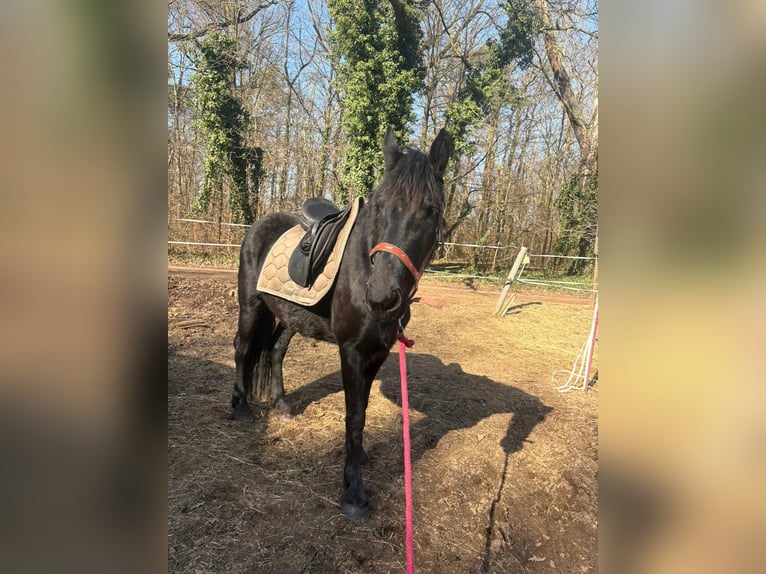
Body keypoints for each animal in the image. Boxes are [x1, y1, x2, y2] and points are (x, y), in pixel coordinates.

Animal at [232, 127, 453, 520]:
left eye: (432, 210)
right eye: (379, 206)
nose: (381, 298)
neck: (364, 269)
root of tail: (259, 225)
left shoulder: (378, 352)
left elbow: (362, 408)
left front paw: (360, 458)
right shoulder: (351, 351)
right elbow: (354, 416)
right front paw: (353, 491)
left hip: (290, 316)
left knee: (274, 351)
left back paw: (281, 405)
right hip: (251, 306)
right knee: (243, 349)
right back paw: (240, 406)